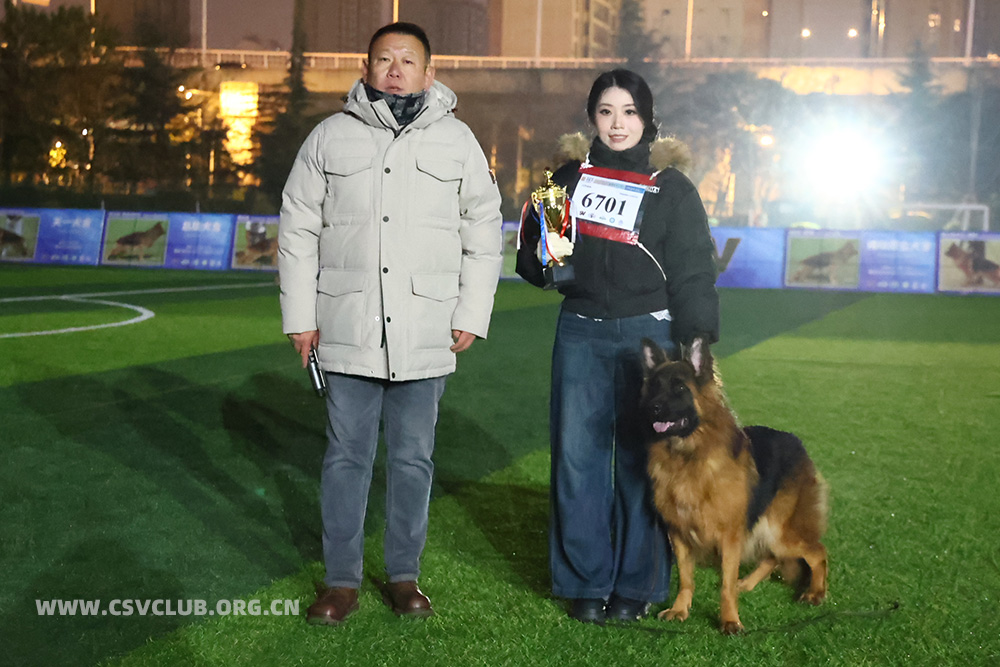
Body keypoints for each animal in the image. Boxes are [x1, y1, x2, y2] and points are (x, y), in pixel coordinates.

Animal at [639, 337, 829, 634]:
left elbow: (725, 585)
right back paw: (748, 584)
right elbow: (686, 579)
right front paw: (681, 610)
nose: (652, 408)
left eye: (680, 387)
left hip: (780, 531)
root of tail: (796, 442)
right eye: (655, 387)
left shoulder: (729, 536)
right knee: (772, 557)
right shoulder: (679, 534)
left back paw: (815, 593)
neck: (688, 457)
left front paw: (729, 620)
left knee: (818, 553)